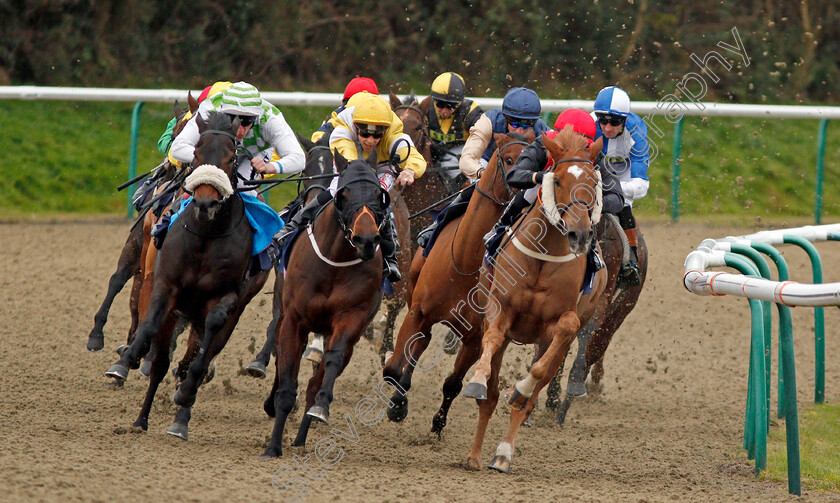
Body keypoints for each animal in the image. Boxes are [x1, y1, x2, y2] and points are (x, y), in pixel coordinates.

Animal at [104, 112, 270, 440]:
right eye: (195, 152)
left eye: (232, 158)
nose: (205, 202)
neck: (206, 235)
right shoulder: (163, 281)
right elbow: (149, 319)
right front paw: (128, 358)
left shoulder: (226, 298)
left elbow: (204, 345)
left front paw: (187, 389)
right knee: (161, 357)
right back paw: (142, 416)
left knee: (193, 358)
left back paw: (181, 414)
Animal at [260, 152, 392, 458]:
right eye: (344, 193)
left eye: (378, 195)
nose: (367, 240)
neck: (335, 261)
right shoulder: (294, 319)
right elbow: (287, 379)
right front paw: (273, 446)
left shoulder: (351, 319)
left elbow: (330, 362)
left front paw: (320, 408)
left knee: (314, 381)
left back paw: (301, 434)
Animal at [380, 129, 532, 430]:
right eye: (509, 159)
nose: (524, 196)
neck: (465, 262)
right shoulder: (418, 312)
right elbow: (393, 368)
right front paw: (397, 403)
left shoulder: (475, 338)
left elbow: (452, 384)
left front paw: (438, 423)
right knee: (421, 343)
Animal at [462, 128, 608, 474]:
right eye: (558, 181)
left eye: (593, 181)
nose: (580, 235)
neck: (544, 253)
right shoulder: (499, 308)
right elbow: (491, 341)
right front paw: (475, 380)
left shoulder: (556, 325)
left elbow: (541, 367)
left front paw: (519, 389)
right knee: (489, 398)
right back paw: (475, 454)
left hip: (555, 345)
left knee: (527, 400)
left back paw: (502, 454)